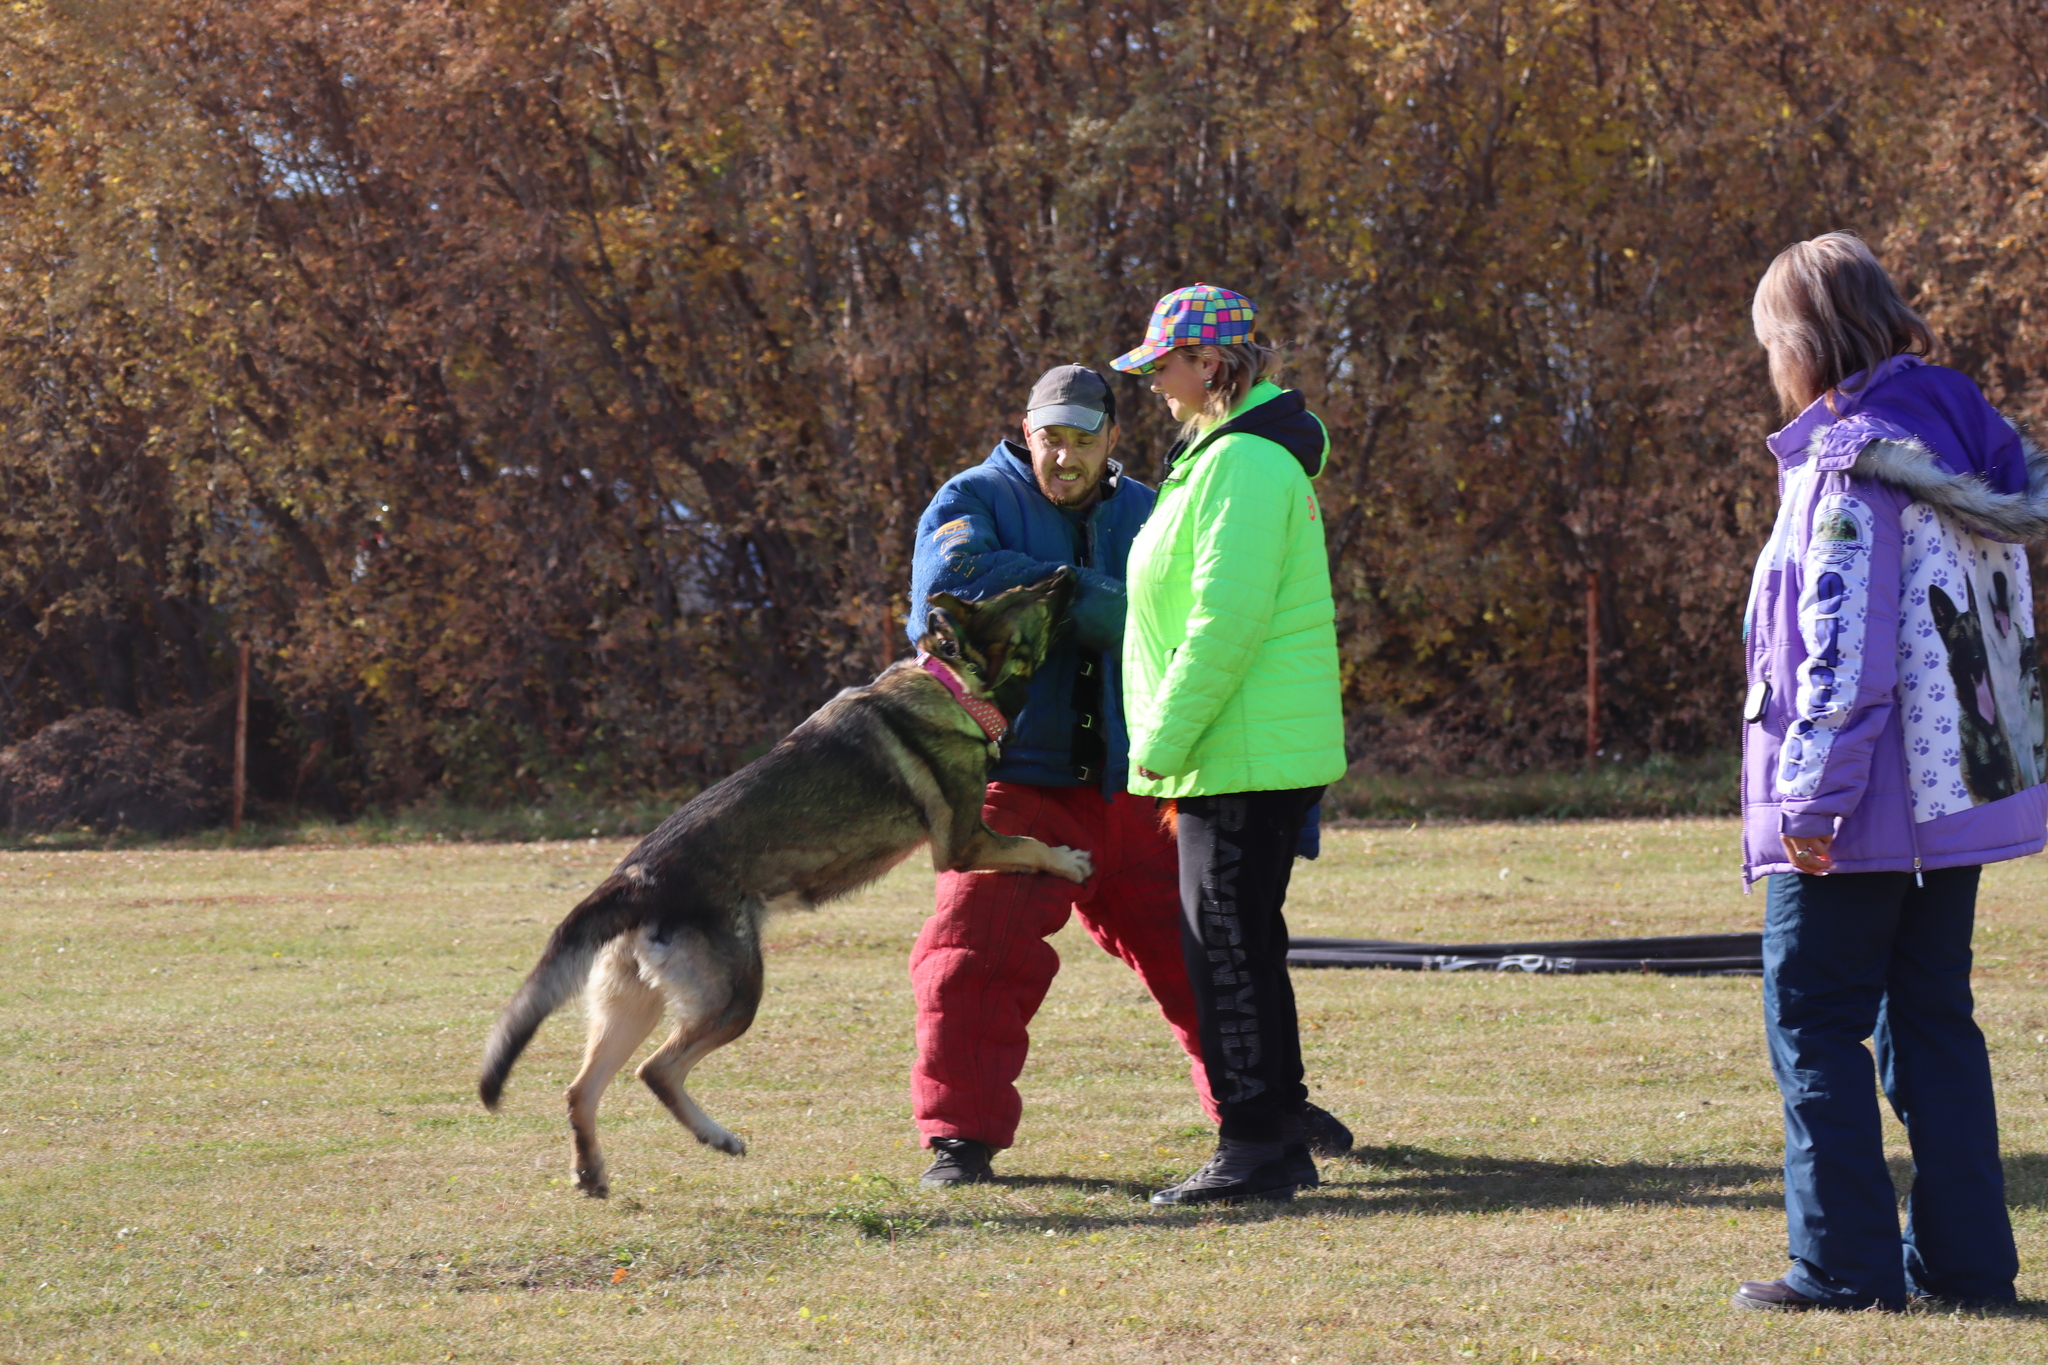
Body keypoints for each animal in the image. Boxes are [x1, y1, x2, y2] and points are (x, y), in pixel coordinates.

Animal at [475, 564, 1089, 1195]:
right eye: (1033, 598)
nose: (1068, 571)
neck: (953, 683)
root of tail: (636, 878)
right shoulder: (967, 843)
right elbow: (1029, 845)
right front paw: (1068, 861)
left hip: (632, 1006)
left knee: (581, 1088)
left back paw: (593, 1171)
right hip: (733, 999)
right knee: (656, 1070)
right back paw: (715, 1137)